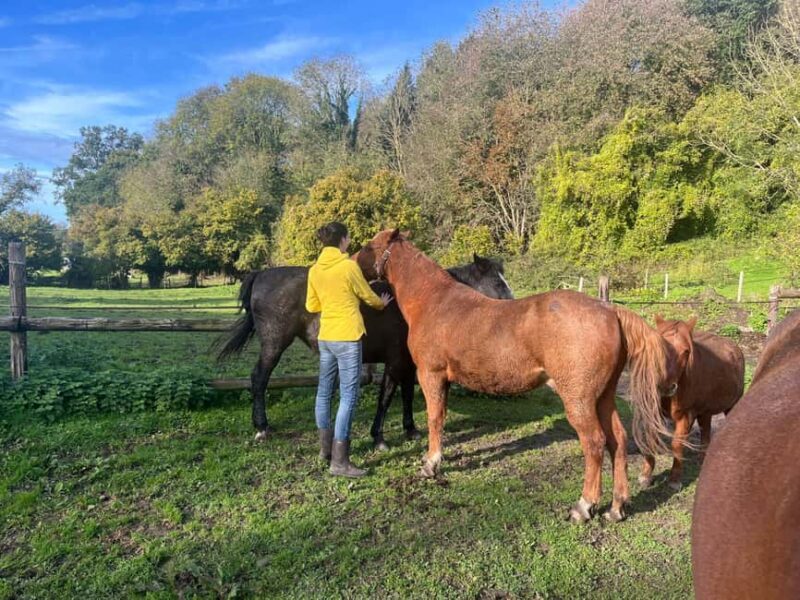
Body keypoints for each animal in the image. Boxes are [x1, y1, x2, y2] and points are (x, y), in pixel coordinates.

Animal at [217, 253, 513, 448]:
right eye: (498, 283)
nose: (514, 305)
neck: (421, 302)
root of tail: (262, 274)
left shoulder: (408, 364)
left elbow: (406, 394)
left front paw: (410, 429)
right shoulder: (395, 361)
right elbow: (386, 396)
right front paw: (379, 437)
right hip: (274, 344)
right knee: (259, 379)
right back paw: (262, 427)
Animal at [357, 229, 679, 522]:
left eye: (369, 246)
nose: (352, 262)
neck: (434, 301)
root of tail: (610, 311)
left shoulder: (430, 374)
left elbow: (435, 418)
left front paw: (431, 463)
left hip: (579, 401)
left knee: (595, 444)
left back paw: (584, 506)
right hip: (603, 398)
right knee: (618, 441)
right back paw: (616, 507)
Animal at [638, 316, 744, 491]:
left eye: (686, 351)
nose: (666, 386)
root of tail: (735, 348)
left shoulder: (685, 416)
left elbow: (677, 444)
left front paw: (674, 479)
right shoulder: (653, 413)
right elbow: (651, 438)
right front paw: (646, 475)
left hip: (731, 406)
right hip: (705, 412)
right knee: (705, 432)